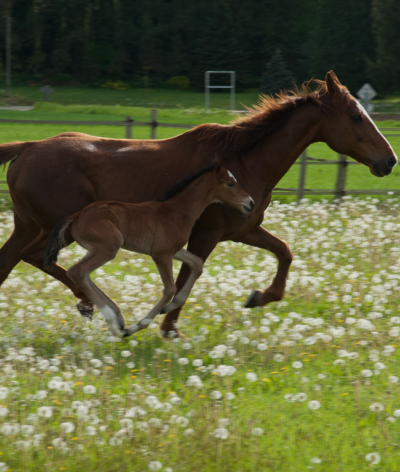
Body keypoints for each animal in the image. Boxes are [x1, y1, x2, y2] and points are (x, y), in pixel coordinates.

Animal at [43, 160, 253, 338]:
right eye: (230, 184)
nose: (250, 203)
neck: (176, 212)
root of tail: (76, 216)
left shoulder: (174, 251)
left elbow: (198, 264)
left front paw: (169, 307)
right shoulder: (160, 255)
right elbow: (169, 289)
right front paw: (139, 325)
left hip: (98, 249)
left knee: (83, 274)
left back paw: (118, 317)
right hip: (109, 247)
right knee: (77, 271)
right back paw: (114, 322)